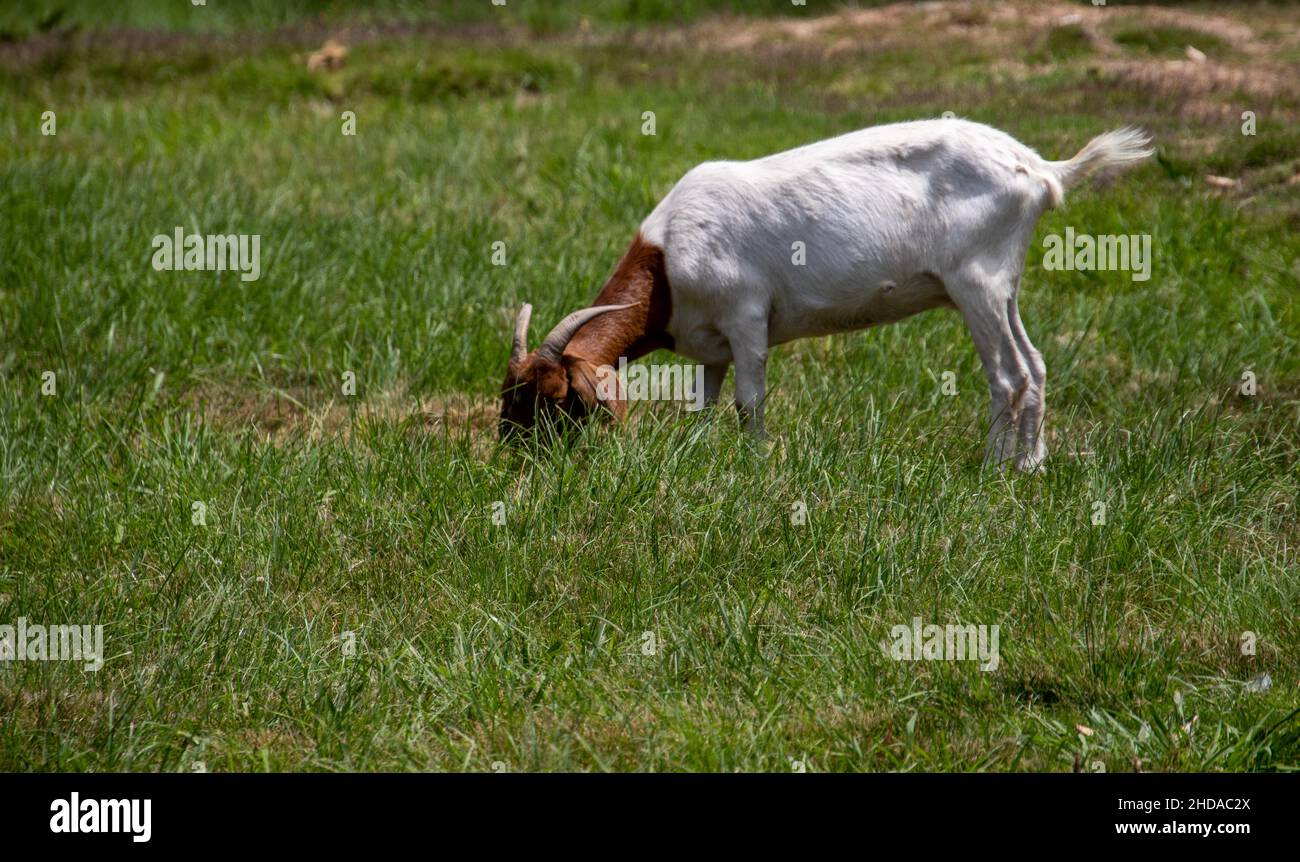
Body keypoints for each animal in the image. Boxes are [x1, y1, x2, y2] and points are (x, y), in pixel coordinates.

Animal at [501, 119, 1153, 470]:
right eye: (509, 392)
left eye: (555, 398)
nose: (508, 458)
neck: (667, 258)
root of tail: (1041, 170)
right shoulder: (711, 345)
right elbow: (702, 406)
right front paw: (701, 459)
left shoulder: (746, 319)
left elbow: (749, 403)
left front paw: (754, 465)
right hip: (1004, 288)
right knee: (1035, 365)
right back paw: (1032, 463)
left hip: (978, 285)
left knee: (1008, 375)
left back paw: (995, 468)